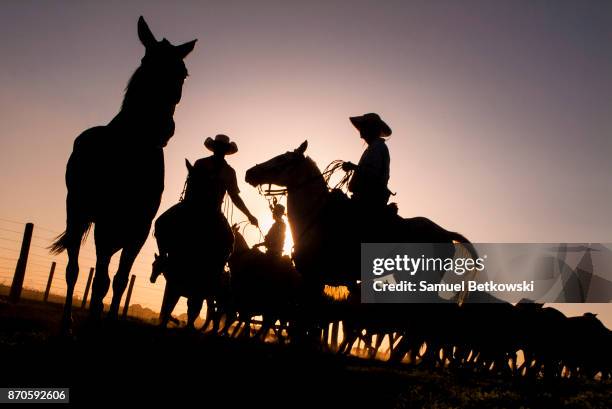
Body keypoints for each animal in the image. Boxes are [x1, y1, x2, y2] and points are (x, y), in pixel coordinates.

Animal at [52, 15, 198, 332]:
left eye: (183, 73)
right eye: (146, 61)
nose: (163, 128)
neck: (134, 151)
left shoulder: (139, 229)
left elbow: (119, 281)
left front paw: (108, 323)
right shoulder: (105, 225)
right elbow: (101, 280)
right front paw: (94, 322)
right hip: (77, 212)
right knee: (73, 268)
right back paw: (68, 322)